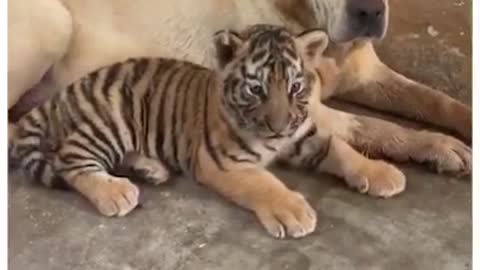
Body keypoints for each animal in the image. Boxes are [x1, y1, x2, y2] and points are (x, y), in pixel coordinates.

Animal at [8, 0, 472, 194]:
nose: (369, 11)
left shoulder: (368, 73)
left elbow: (436, 99)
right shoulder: (303, 108)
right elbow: (379, 126)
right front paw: (440, 146)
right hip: (54, 22)